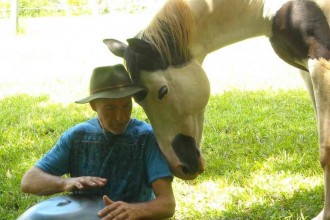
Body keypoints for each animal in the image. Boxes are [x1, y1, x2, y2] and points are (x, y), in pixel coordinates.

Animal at [104, 0, 330, 218]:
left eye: (162, 91)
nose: (180, 167)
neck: (272, 6)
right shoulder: (305, 71)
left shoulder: (320, 63)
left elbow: (325, 149)